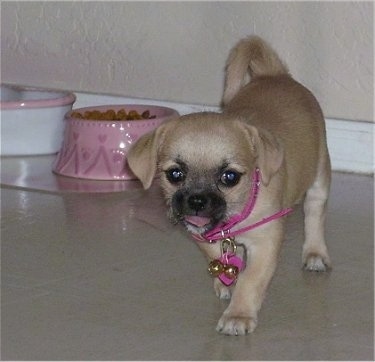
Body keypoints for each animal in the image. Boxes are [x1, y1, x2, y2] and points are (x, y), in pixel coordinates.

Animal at [127, 35, 332, 336]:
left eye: (230, 177)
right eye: (175, 174)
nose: (196, 201)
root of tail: (275, 74)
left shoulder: (266, 241)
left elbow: (251, 280)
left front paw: (239, 315)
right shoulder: (204, 236)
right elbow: (220, 259)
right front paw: (225, 282)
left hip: (319, 173)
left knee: (315, 213)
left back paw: (315, 253)